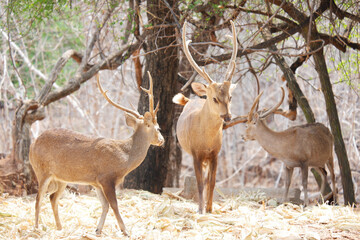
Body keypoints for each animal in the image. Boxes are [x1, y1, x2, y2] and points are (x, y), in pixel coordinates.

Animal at [29, 71, 165, 236]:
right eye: (157, 127)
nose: (162, 140)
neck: (125, 158)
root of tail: (32, 144)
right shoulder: (106, 177)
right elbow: (114, 204)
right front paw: (125, 231)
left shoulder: (96, 182)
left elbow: (105, 205)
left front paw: (98, 230)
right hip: (41, 170)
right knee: (38, 198)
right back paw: (36, 229)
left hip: (61, 177)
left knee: (53, 198)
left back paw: (60, 228)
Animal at [172, 19, 238, 213]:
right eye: (214, 98)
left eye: (230, 97)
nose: (227, 116)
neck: (206, 140)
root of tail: (190, 100)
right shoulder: (196, 153)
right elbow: (200, 184)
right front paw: (200, 210)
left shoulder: (215, 154)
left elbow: (212, 182)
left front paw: (209, 209)